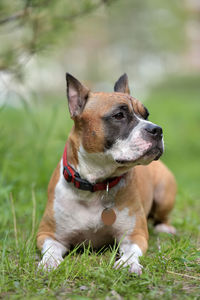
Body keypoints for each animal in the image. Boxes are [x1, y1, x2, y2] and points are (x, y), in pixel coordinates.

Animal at [36, 73, 176, 274]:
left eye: (146, 115)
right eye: (119, 115)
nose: (156, 129)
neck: (94, 184)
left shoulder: (135, 235)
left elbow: (132, 251)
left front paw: (128, 263)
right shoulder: (47, 234)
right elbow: (51, 249)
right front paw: (49, 262)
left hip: (165, 194)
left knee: (162, 216)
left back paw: (165, 228)